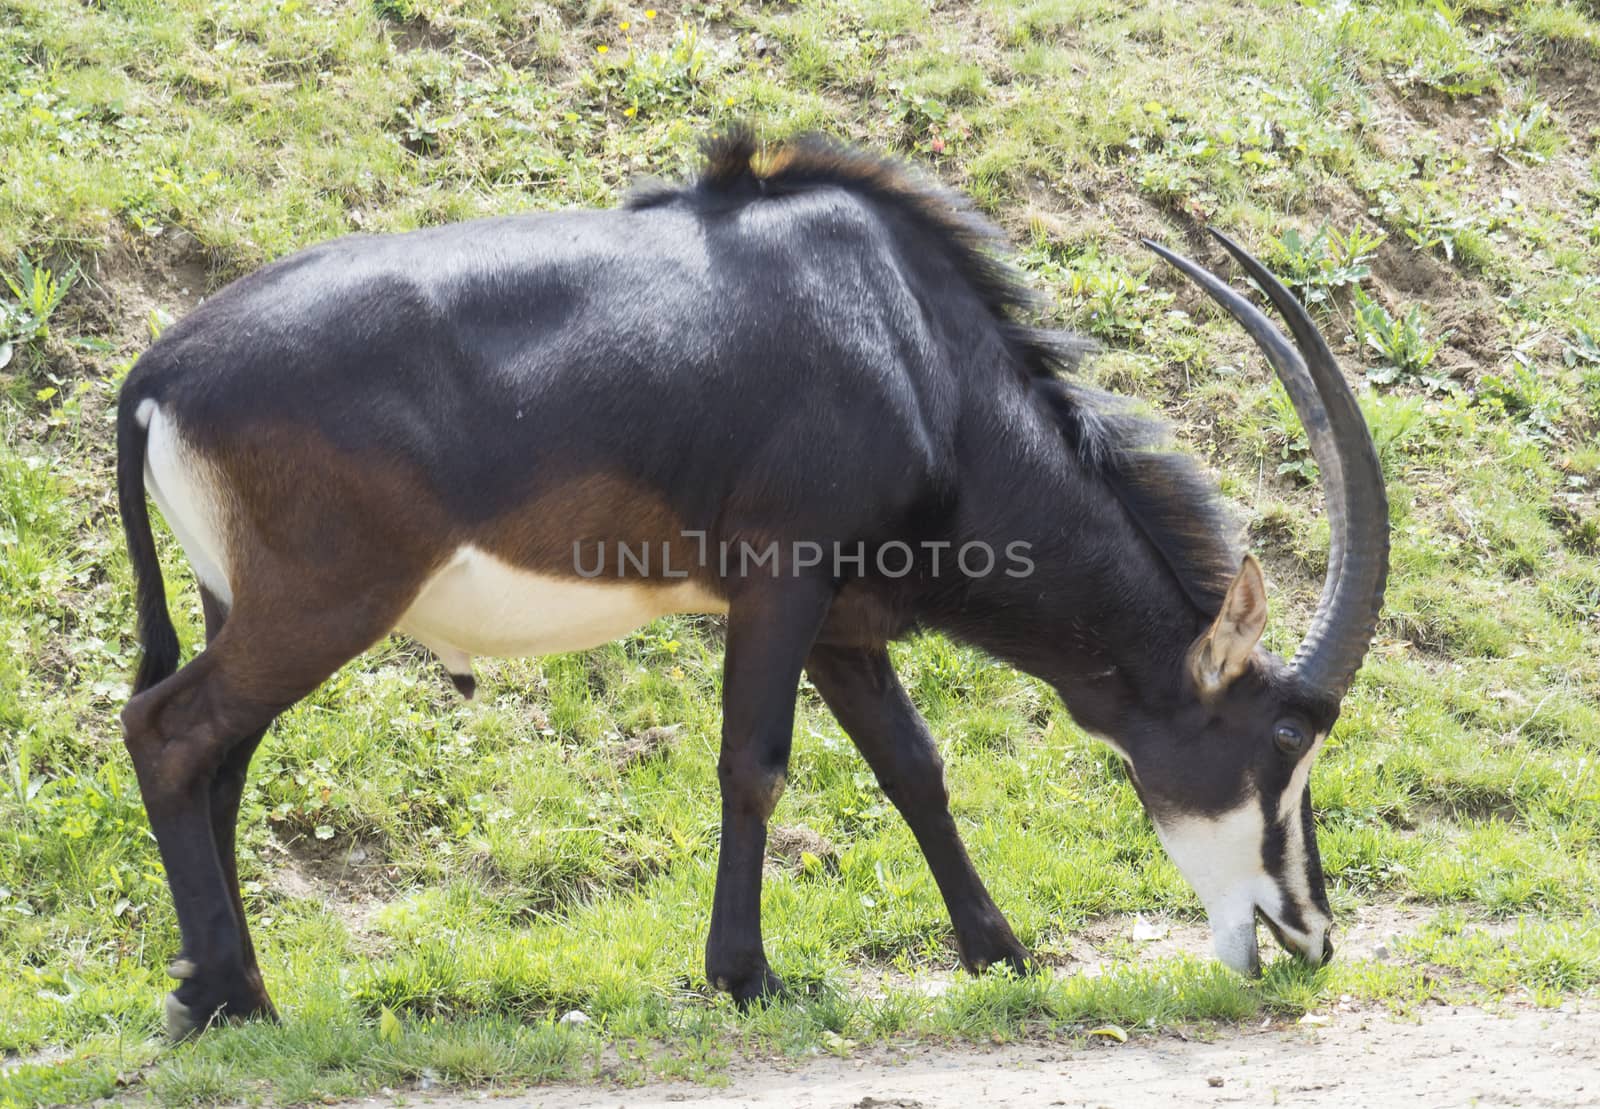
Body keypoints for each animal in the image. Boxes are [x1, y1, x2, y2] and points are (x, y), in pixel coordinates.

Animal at [116, 132, 1388, 1036]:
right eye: (1284, 739)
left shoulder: (843, 621)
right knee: (168, 732)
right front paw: (746, 974)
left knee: (220, 761)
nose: (1310, 934)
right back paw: (225, 993)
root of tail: (158, 370)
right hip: (321, 606)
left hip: (247, 606)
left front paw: (1000, 951)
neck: (918, 354)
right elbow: (755, 766)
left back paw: (229, 990)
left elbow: (914, 766)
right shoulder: (784, 581)